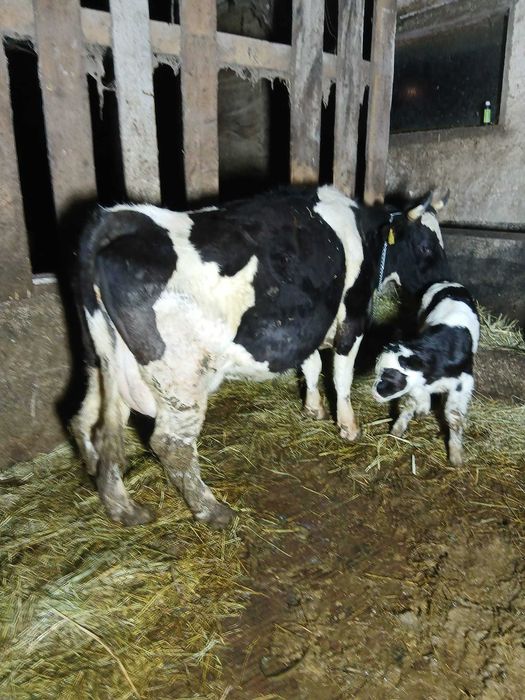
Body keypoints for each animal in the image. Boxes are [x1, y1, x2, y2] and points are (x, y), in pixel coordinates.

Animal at [71, 185, 450, 527]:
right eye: (426, 245)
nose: (442, 283)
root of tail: (116, 219)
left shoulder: (308, 321)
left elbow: (311, 365)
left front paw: (313, 409)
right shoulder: (352, 317)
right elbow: (341, 375)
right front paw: (348, 427)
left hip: (102, 364)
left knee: (91, 423)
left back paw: (120, 505)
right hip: (181, 376)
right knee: (171, 446)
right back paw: (212, 511)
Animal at [373, 281, 480, 466]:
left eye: (389, 376)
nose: (374, 393)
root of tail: (448, 282)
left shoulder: (464, 381)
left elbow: (453, 415)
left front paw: (456, 456)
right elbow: (412, 400)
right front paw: (400, 427)